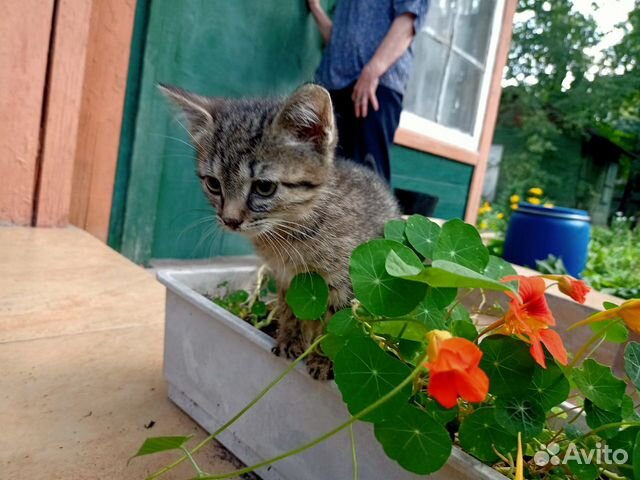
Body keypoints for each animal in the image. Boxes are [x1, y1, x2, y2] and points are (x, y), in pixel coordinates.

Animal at [160, 84, 398, 380]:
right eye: (213, 184)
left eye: (264, 187)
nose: (230, 220)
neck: (288, 231)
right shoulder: (289, 281)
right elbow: (291, 311)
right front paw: (289, 340)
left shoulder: (349, 283)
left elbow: (338, 328)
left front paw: (325, 360)